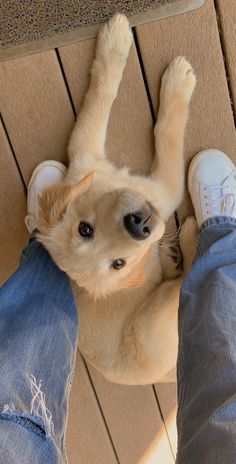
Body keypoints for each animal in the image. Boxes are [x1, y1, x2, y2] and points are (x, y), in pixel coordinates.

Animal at [38, 13, 197, 384]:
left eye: (85, 229)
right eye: (118, 264)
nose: (140, 227)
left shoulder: (81, 150)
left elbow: (100, 94)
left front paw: (113, 43)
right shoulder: (165, 188)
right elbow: (166, 133)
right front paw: (177, 82)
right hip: (152, 321)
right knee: (189, 278)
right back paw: (189, 239)